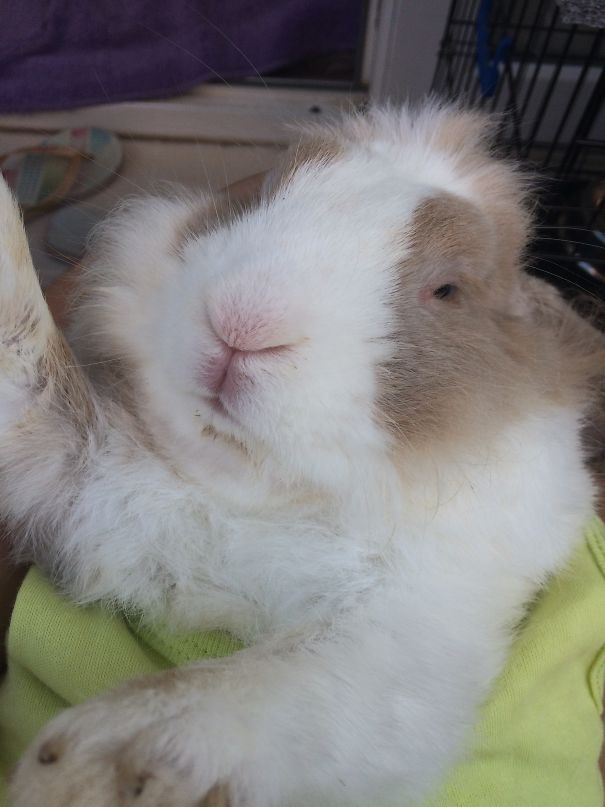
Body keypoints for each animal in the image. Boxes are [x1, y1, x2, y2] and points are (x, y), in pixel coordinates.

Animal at [2, 102, 604, 807]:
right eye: (262, 193)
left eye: (449, 290)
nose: (244, 321)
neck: (260, 494)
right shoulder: (108, 498)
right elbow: (29, 373)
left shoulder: (402, 632)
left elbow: (248, 690)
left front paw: (82, 769)